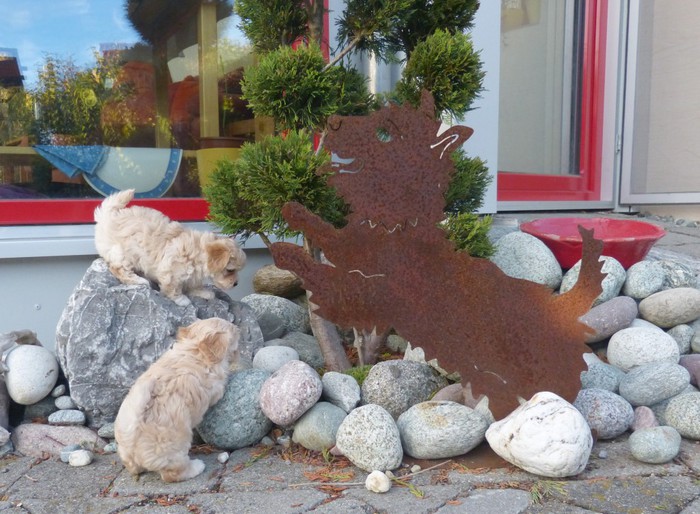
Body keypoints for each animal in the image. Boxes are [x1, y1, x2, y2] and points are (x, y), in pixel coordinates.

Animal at [94, 189, 246, 306]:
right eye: (230, 270)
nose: (236, 284)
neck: (198, 250)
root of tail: (108, 217)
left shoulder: (193, 274)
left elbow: (193, 283)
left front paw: (202, 292)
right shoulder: (171, 270)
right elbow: (172, 287)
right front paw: (181, 300)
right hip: (123, 252)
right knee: (118, 269)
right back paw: (139, 280)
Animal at [114, 317, 240, 482]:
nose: (238, 327)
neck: (194, 349)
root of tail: (132, 434)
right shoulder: (214, 385)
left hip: (126, 453)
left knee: (131, 465)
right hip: (174, 448)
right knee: (172, 474)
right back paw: (196, 467)